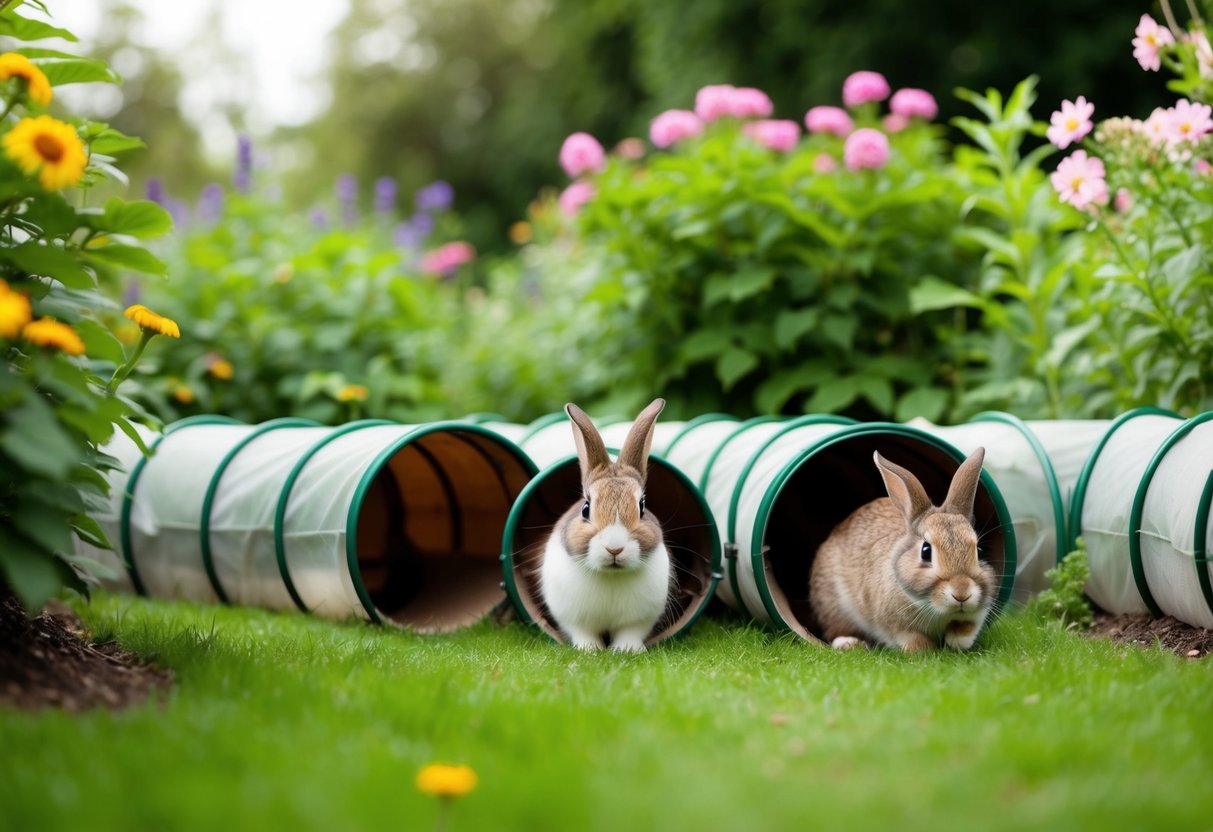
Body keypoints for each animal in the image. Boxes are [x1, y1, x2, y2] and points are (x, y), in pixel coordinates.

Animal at [540, 400, 674, 654]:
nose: (614, 549)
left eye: (642, 507)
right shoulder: (574, 619)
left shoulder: (638, 621)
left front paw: (628, 650)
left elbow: (630, 633)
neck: (611, 576)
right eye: (585, 508)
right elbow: (584, 633)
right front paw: (589, 650)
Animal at [815, 448, 994, 650]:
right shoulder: (893, 625)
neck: (933, 606)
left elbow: (967, 628)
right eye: (925, 551)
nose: (962, 593)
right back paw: (849, 643)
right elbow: (912, 638)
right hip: (833, 604)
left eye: (978, 551)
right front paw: (924, 649)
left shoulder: (977, 613)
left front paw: (956, 641)